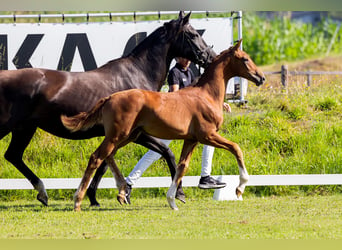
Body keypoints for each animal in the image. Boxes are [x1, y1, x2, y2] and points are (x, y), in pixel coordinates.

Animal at [0, 11, 215, 206]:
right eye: (193, 34)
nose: (211, 57)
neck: (138, 74)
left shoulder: (122, 135)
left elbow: (105, 164)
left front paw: (96, 197)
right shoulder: (135, 133)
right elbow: (166, 152)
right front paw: (179, 193)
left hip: (24, 128)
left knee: (13, 156)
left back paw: (43, 194)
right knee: (12, 155)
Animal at [60, 39, 264, 211]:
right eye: (245, 59)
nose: (261, 78)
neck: (206, 95)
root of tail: (110, 97)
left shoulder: (191, 140)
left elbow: (182, 166)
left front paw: (173, 201)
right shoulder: (208, 135)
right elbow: (236, 148)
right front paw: (240, 188)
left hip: (127, 136)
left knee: (108, 157)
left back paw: (121, 190)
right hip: (118, 135)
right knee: (96, 157)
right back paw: (78, 200)